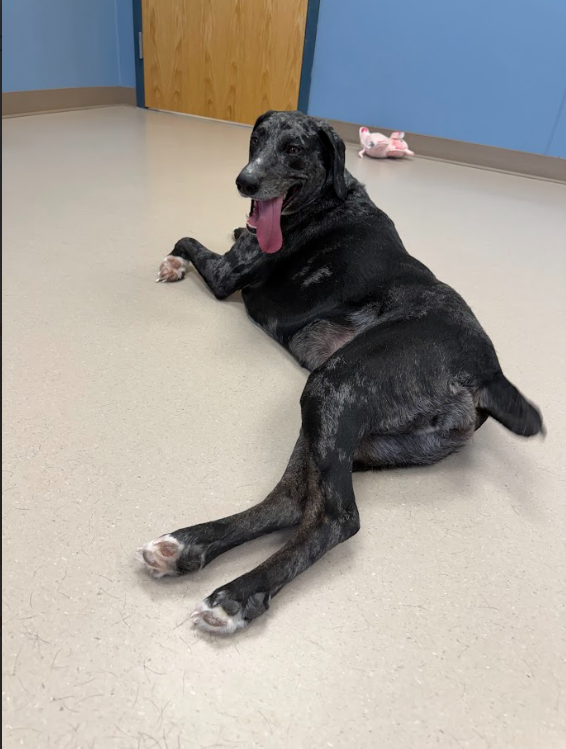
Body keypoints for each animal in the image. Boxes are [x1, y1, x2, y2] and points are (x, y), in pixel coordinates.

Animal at [138, 110, 543, 635]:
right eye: (256, 138)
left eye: (293, 149)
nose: (245, 182)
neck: (328, 198)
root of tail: (489, 372)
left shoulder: (228, 275)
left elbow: (186, 238)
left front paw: (174, 261)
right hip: (333, 418)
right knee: (292, 502)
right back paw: (187, 547)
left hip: (333, 386)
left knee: (337, 517)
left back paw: (237, 595)